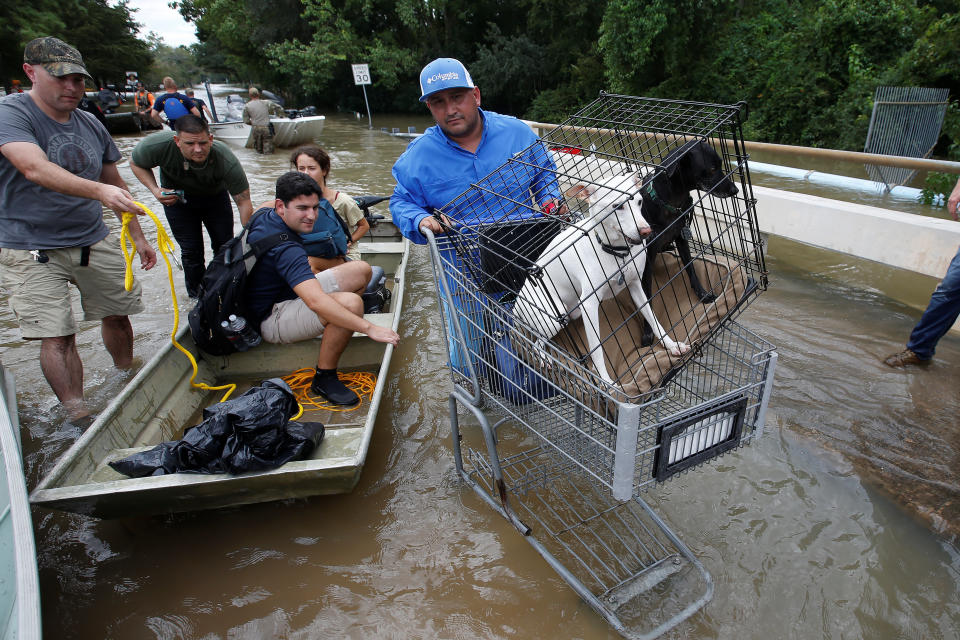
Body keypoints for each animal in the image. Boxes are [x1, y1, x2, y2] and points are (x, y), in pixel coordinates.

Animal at [512, 171, 688, 384]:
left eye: (639, 202)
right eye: (618, 206)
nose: (647, 231)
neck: (617, 254)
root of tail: (515, 305)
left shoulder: (636, 287)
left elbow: (654, 320)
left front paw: (672, 345)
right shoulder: (589, 305)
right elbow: (596, 349)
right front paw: (605, 380)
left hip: (572, 313)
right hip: (555, 316)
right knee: (535, 342)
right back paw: (544, 357)